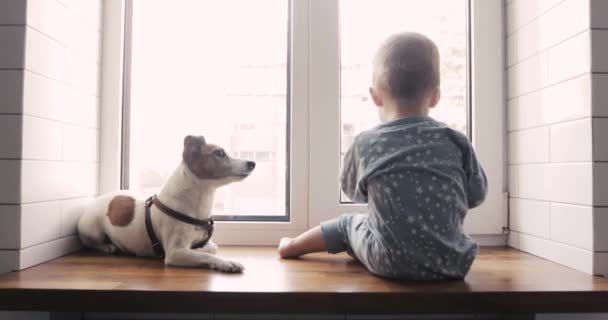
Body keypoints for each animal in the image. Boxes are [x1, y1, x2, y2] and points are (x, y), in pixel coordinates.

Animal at [78, 135, 254, 272]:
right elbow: (206, 255)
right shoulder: (175, 253)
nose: (252, 163)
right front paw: (227, 262)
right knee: (89, 242)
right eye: (219, 153)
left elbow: (211, 248)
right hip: (92, 229)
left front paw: (204, 250)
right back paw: (107, 246)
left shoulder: (201, 244)